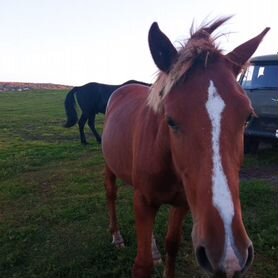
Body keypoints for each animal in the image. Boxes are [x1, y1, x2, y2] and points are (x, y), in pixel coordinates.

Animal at [101, 17, 270, 278]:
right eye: (170, 119)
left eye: (247, 117)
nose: (229, 254)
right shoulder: (144, 201)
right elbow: (142, 264)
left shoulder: (182, 204)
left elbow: (172, 244)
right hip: (111, 168)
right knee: (111, 193)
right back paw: (117, 235)